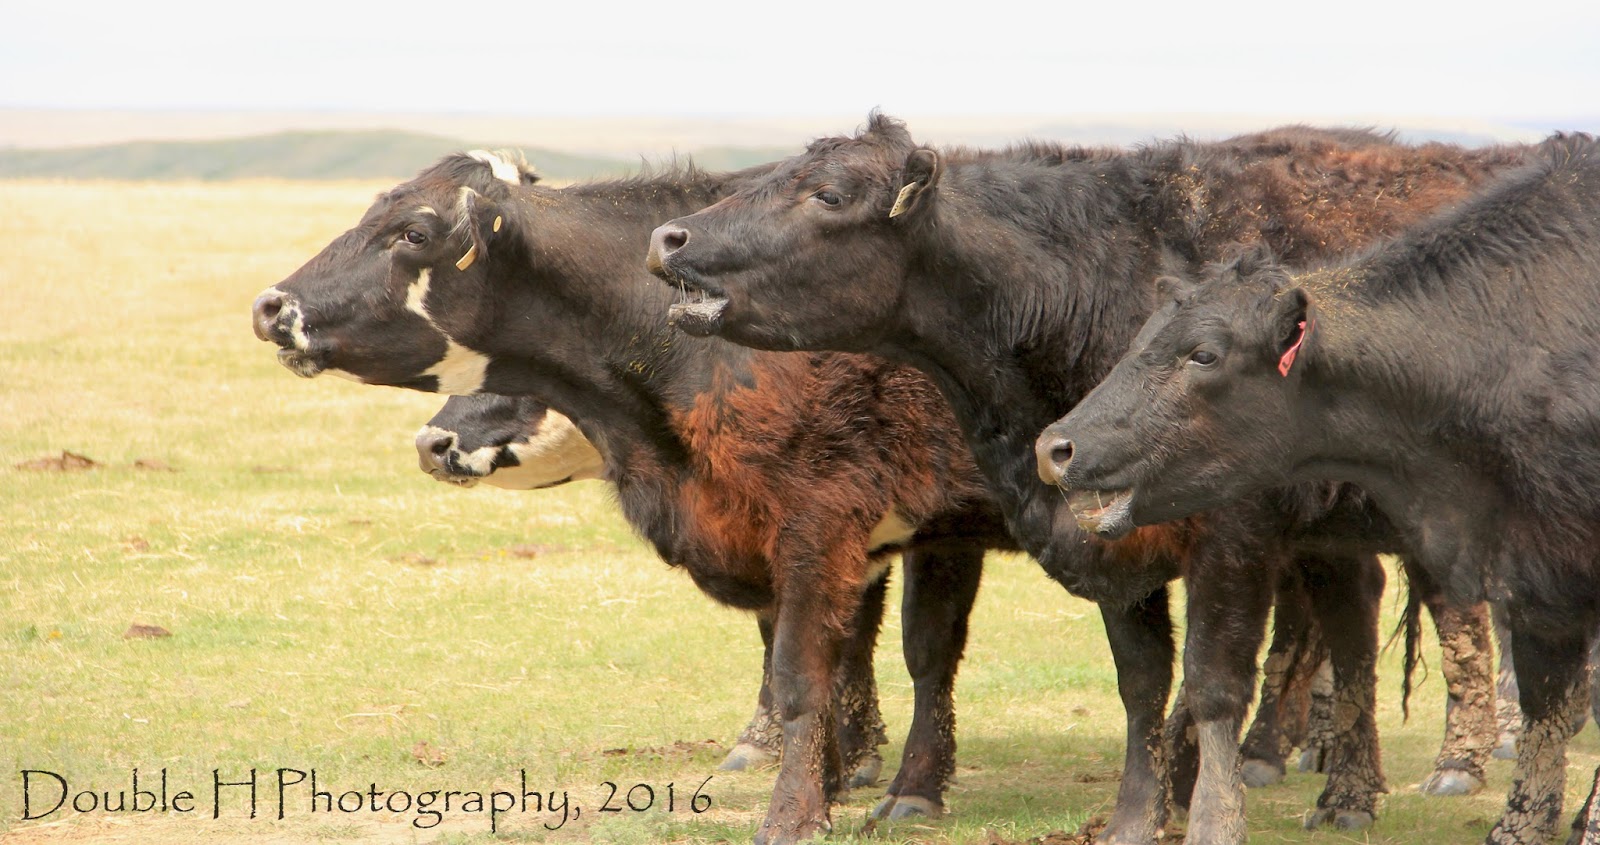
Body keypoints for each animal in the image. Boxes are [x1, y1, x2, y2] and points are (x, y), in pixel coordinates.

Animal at [250, 153, 1020, 844]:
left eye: (412, 232)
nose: (270, 305)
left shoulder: (853, 526)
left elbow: (858, 663)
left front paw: (834, 805)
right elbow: (825, 660)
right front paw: (833, 777)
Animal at [644, 114, 1527, 843]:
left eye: (827, 195)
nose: (669, 237)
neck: (1084, 286)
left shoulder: (1231, 539)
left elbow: (1211, 683)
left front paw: (1209, 820)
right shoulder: (1110, 540)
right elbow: (1142, 682)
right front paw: (1135, 820)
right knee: (1352, 626)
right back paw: (1348, 797)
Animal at [1038, 134, 1600, 845]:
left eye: (1204, 354)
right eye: (1139, 339)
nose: (1056, 448)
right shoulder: (1532, 571)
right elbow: (1546, 699)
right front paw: (1523, 825)